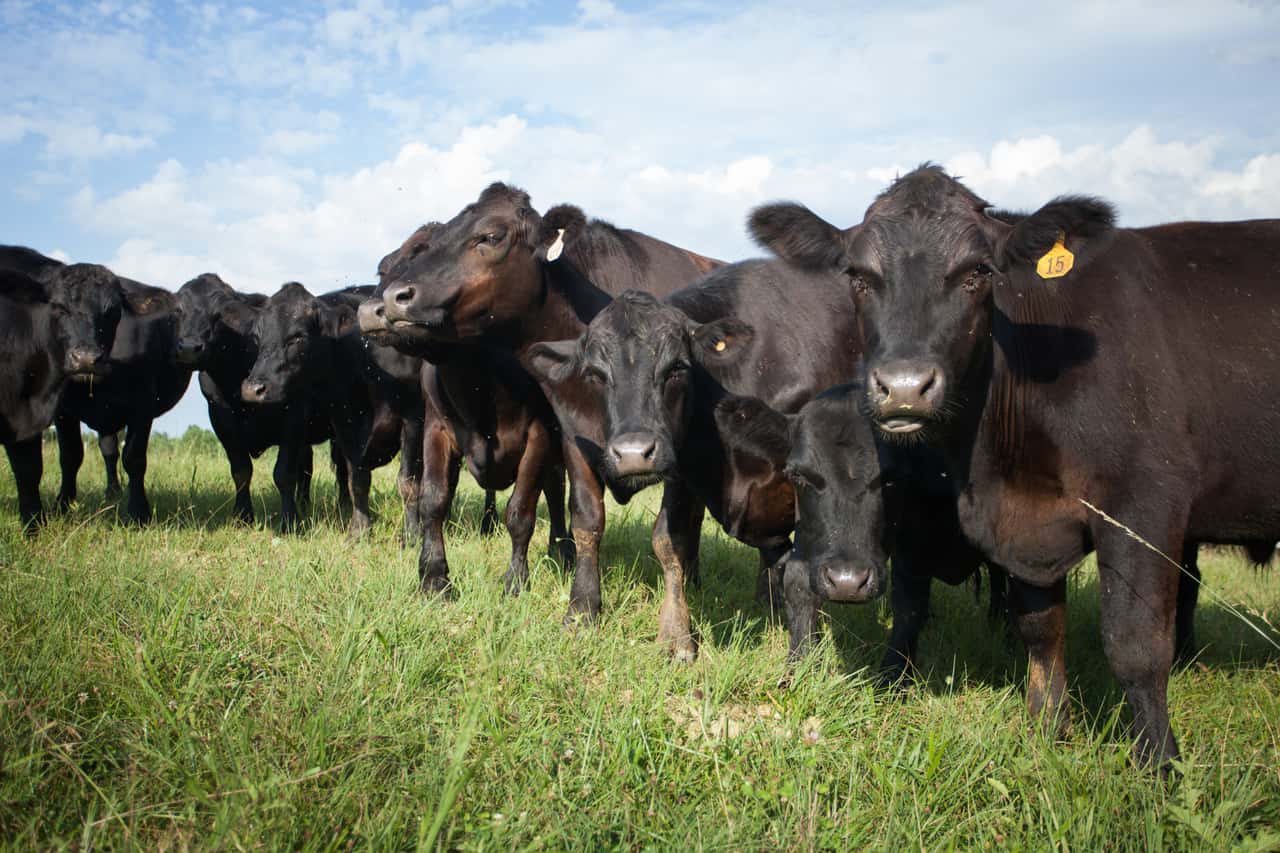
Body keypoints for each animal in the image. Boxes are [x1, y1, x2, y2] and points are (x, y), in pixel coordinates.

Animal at [379, 183, 719, 619]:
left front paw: (515, 583)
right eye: (436, 241)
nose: (392, 299)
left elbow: (522, 512)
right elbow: (437, 501)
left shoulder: (546, 434)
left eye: (491, 236)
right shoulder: (560, 433)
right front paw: (435, 580)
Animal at [523, 259, 858, 660]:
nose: (634, 453)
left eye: (677, 368)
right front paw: (583, 613)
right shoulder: (593, 449)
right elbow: (605, 527)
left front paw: (806, 654)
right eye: (595, 374)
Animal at [749, 164, 1280, 767]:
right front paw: (1048, 730)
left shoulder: (1144, 503)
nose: (904, 386)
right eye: (858, 276)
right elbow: (1040, 629)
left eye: (979, 273)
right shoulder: (1024, 531)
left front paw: (1159, 765)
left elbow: (1136, 645)